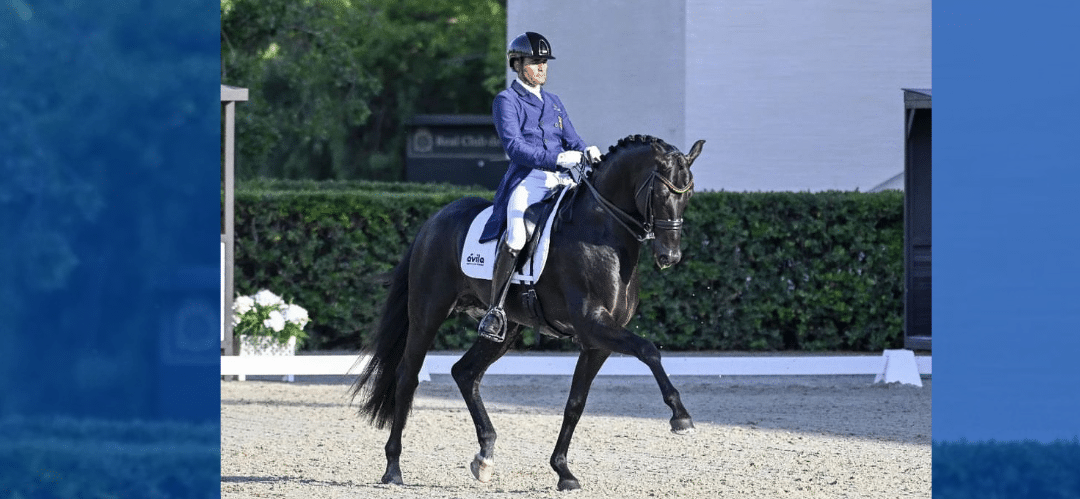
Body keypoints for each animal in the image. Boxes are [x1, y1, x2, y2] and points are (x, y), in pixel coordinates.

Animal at [354, 135, 704, 490]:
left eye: (689, 194)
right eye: (661, 193)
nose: (669, 256)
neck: (601, 234)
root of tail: (433, 221)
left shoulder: (598, 341)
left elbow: (575, 404)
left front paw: (563, 472)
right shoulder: (594, 324)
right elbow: (648, 350)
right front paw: (681, 417)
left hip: (505, 328)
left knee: (465, 373)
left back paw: (485, 457)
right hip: (428, 312)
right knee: (407, 376)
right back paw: (393, 468)